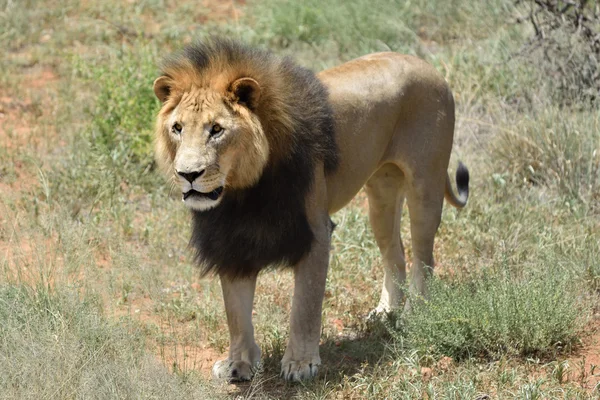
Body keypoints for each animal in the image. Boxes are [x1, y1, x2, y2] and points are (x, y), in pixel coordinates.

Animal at [154, 39, 468, 382]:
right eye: (177, 128)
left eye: (216, 129)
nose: (188, 174)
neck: (242, 190)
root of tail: (432, 69)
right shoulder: (230, 237)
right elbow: (235, 310)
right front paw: (238, 363)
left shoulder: (315, 231)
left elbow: (305, 305)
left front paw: (301, 364)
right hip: (381, 194)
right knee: (395, 254)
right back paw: (386, 313)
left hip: (425, 185)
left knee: (424, 257)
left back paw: (414, 313)